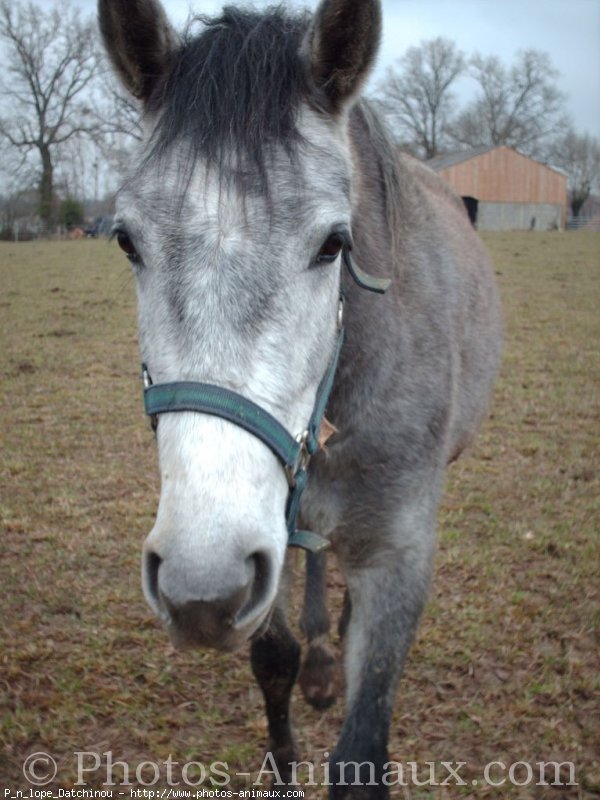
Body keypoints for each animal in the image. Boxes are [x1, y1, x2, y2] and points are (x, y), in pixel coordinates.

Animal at [98, 0, 502, 796]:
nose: (199, 582)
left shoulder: (399, 553)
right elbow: (273, 658)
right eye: (127, 241)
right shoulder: (265, 537)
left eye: (332, 244)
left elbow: (361, 746)